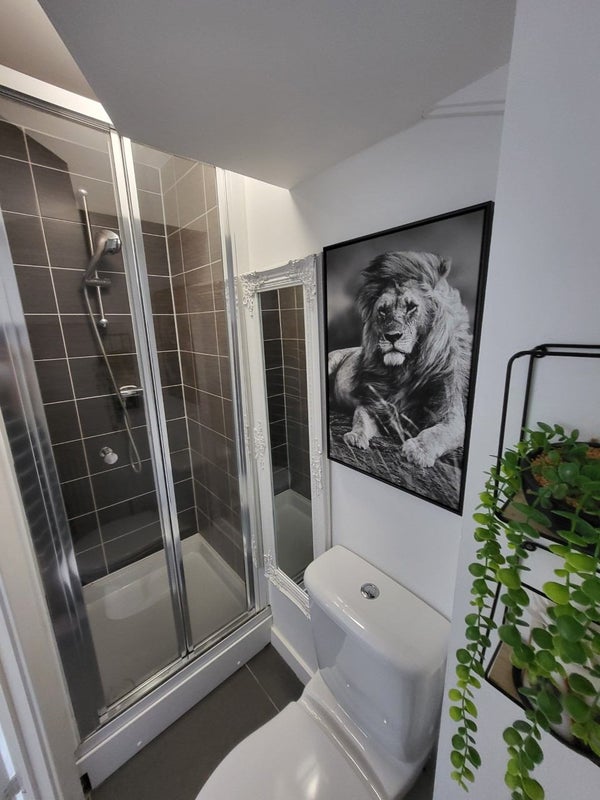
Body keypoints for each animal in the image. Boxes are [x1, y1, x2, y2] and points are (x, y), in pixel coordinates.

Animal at [328, 251, 472, 469]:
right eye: (383, 310)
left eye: (411, 307)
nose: (392, 336)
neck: (405, 370)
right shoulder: (374, 404)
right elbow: (360, 420)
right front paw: (355, 436)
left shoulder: (451, 414)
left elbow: (438, 432)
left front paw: (418, 450)